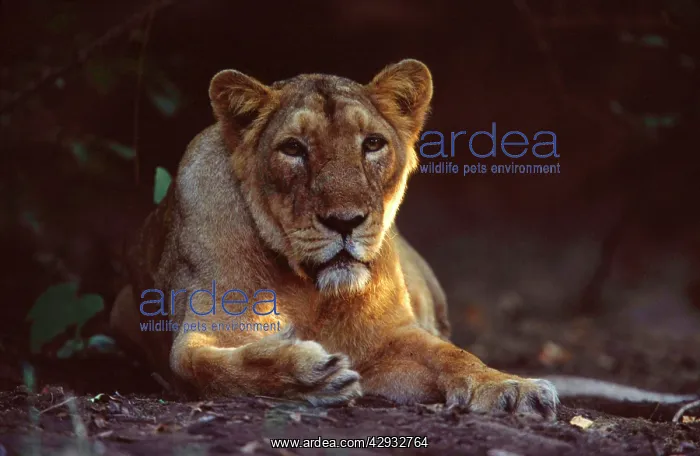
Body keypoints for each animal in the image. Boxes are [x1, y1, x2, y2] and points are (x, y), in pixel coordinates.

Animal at [110, 59, 559, 418]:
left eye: (372, 144)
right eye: (293, 149)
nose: (345, 222)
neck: (312, 292)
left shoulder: (392, 337)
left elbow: (452, 355)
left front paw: (512, 387)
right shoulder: (203, 335)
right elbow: (202, 366)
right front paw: (309, 377)